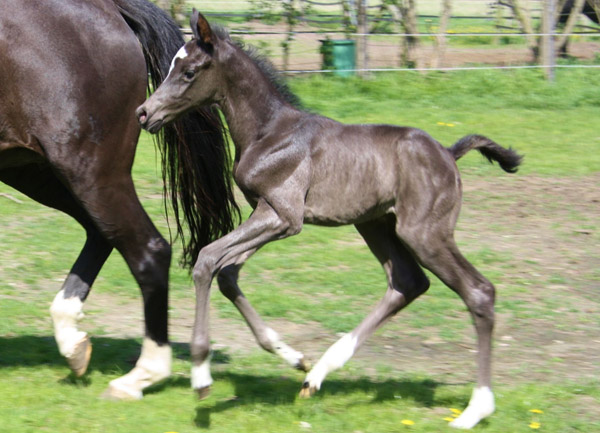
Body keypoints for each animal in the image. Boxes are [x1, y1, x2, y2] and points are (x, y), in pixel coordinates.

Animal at [0, 0, 239, 398]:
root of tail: (110, 9)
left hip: (87, 169)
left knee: (149, 249)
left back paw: (142, 374)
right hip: (35, 169)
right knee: (103, 233)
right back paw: (73, 342)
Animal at [138, 11, 524, 428]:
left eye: (189, 71)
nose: (144, 113)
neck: (268, 132)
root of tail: (449, 154)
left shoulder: (283, 216)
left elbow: (207, 259)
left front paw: (201, 375)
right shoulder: (266, 215)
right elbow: (226, 273)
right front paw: (291, 356)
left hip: (424, 233)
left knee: (478, 291)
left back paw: (475, 409)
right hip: (375, 224)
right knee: (407, 282)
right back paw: (316, 374)